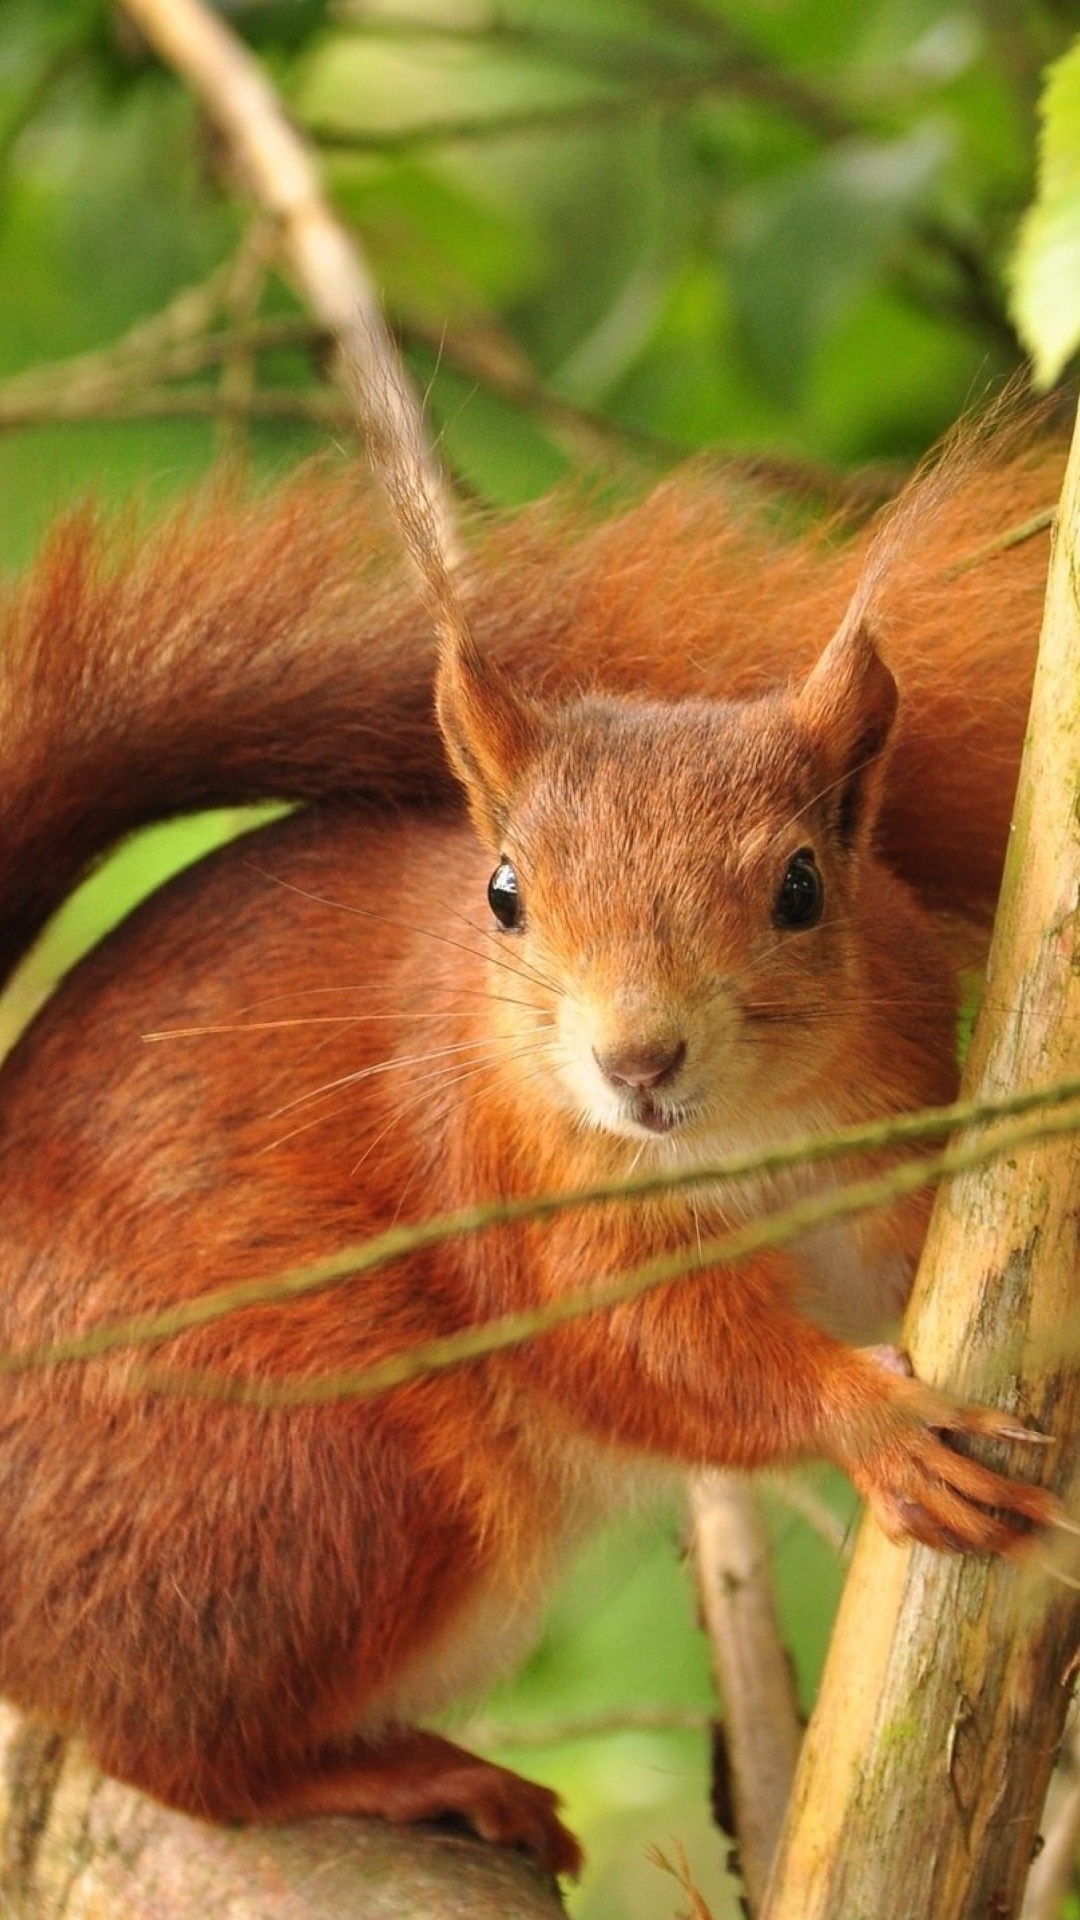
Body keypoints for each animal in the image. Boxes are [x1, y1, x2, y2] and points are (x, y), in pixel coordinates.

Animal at [0, 424, 1060, 1873]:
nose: (638, 1061)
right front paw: (877, 1424)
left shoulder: (891, 1128)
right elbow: (640, 1350)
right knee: (178, 1755)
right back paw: (410, 1777)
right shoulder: (508, 1185)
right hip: (320, 1481)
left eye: (801, 887)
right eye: (504, 893)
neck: (750, 1139)